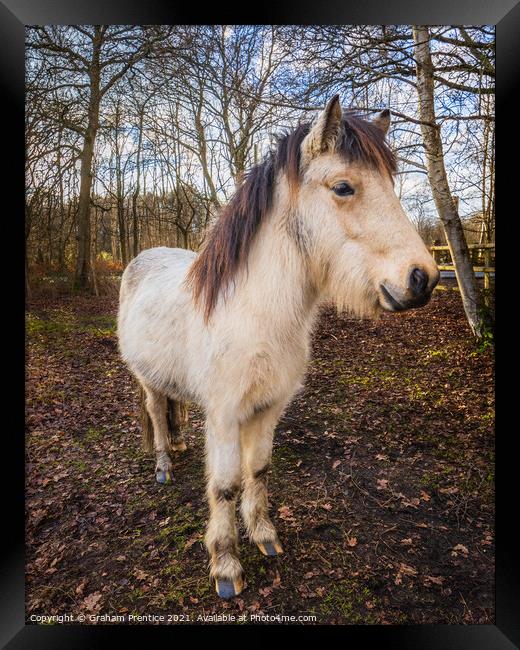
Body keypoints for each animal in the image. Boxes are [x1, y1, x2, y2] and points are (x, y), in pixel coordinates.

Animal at [118, 96, 438, 596]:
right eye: (343, 187)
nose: (422, 278)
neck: (255, 315)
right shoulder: (226, 415)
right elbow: (225, 485)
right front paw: (225, 564)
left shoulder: (268, 408)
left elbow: (260, 470)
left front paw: (264, 535)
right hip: (145, 380)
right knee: (155, 413)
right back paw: (164, 465)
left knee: (173, 410)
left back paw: (182, 446)